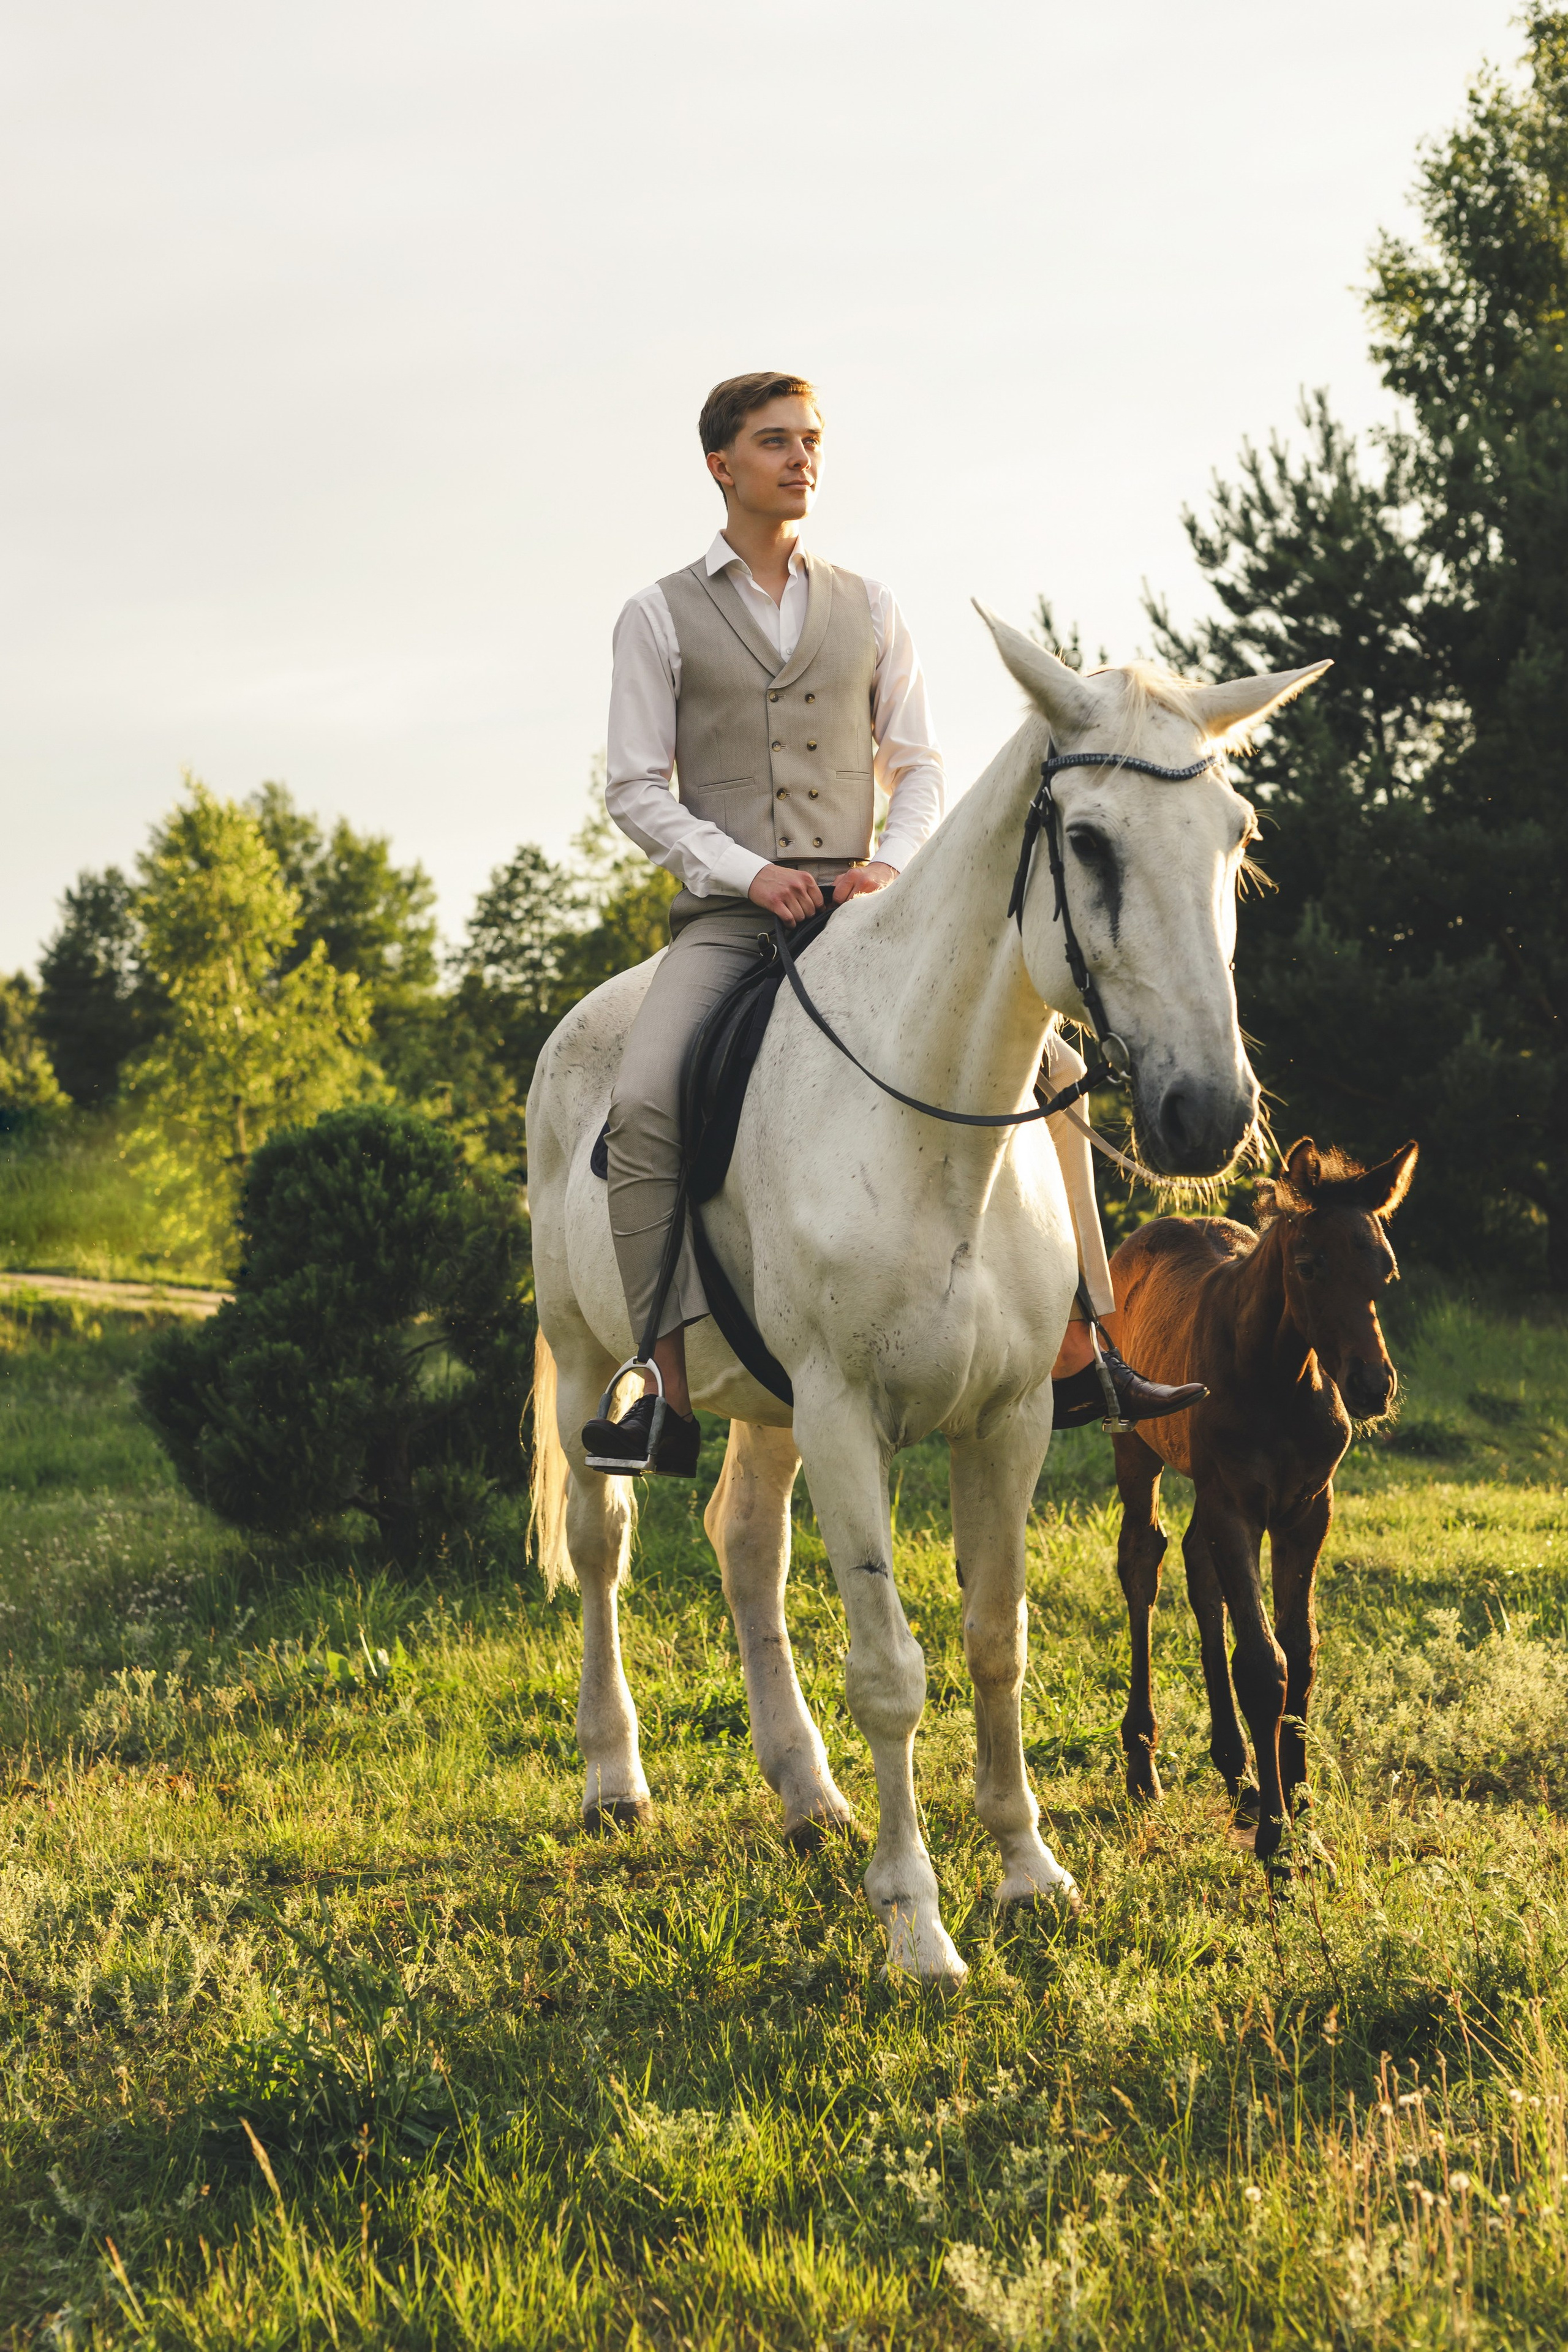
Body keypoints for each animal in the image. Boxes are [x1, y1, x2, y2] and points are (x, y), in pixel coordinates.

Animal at [526, 607, 1328, 1986]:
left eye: (1237, 836)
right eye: (1086, 841)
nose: (1207, 1113)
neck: (929, 1125)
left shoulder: (1006, 1420)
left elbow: (995, 1640)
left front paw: (1028, 1874)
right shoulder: (849, 1420)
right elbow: (890, 1670)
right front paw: (916, 1922)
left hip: (769, 1410)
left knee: (744, 1547)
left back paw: (807, 1797)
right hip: (591, 1362)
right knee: (601, 1545)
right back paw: (615, 1780)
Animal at [1106, 1135, 1418, 1868]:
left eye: (1385, 1270)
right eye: (1308, 1266)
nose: (1372, 1386)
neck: (1279, 1377)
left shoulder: (1307, 1508)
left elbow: (1300, 1653)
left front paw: (1301, 1810)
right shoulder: (1237, 1505)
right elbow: (1261, 1662)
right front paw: (1278, 1844)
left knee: (1198, 1568)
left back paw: (1239, 1772)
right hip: (1137, 1446)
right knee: (1143, 1562)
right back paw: (1144, 1766)